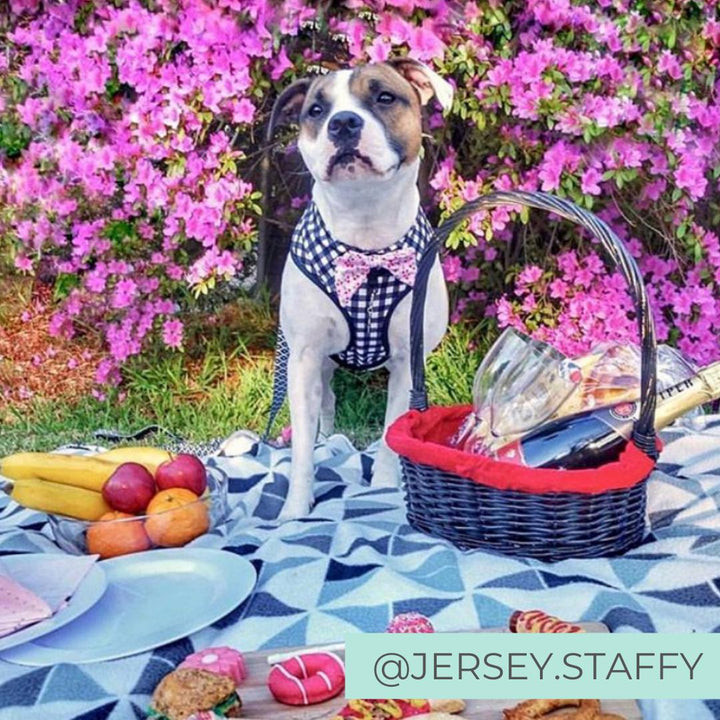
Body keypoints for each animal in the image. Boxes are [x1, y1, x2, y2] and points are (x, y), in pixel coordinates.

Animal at [268, 57, 452, 516]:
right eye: (316, 110)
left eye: (384, 97)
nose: (344, 123)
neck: (366, 238)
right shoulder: (303, 359)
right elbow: (301, 448)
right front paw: (295, 510)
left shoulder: (407, 362)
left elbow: (390, 435)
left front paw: (384, 491)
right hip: (318, 365)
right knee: (326, 408)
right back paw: (327, 441)